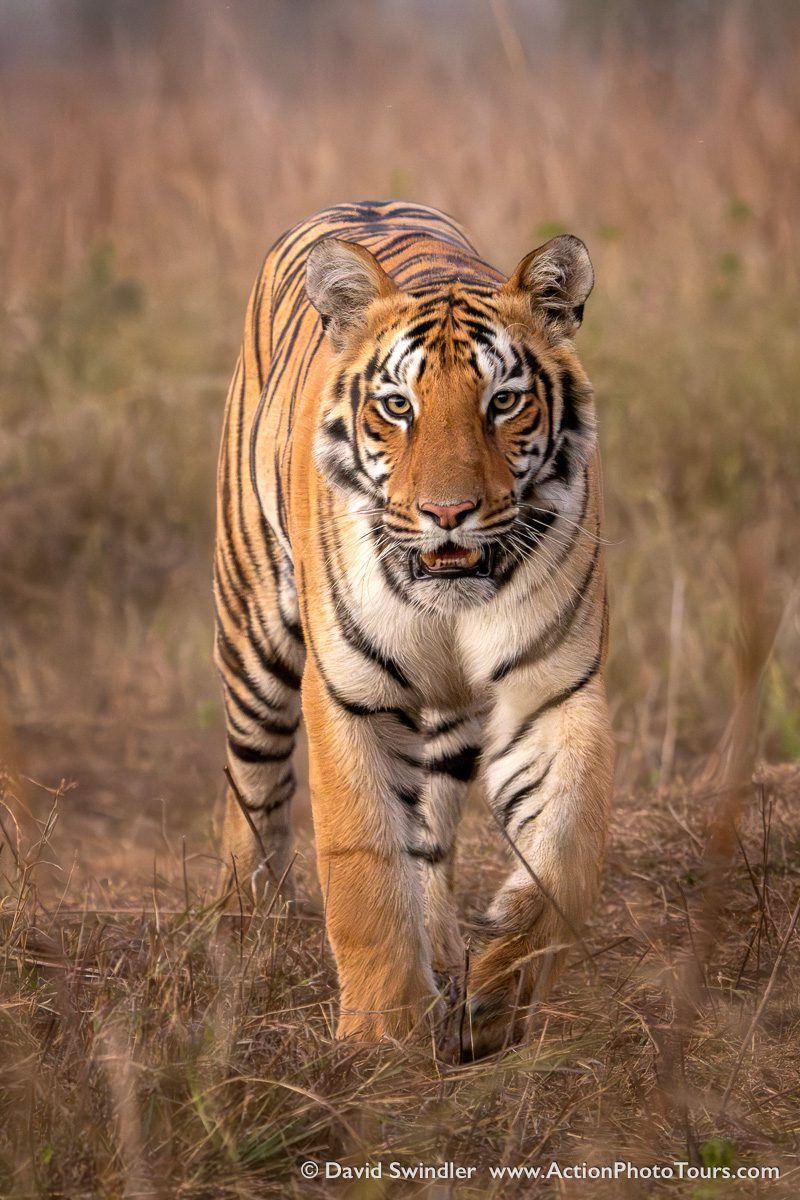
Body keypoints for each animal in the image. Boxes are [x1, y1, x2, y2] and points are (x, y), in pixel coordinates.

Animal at [214, 200, 614, 1060]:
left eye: (504, 402)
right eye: (398, 405)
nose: (447, 513)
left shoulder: (553, 692)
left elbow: (567, 850)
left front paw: (497, 995)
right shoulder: (350, 693)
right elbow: (363, 859)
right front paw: (382, 1035)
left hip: (450, 717)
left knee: (428, 832)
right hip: (253, 635)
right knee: (254, 791)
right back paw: (242, 935)